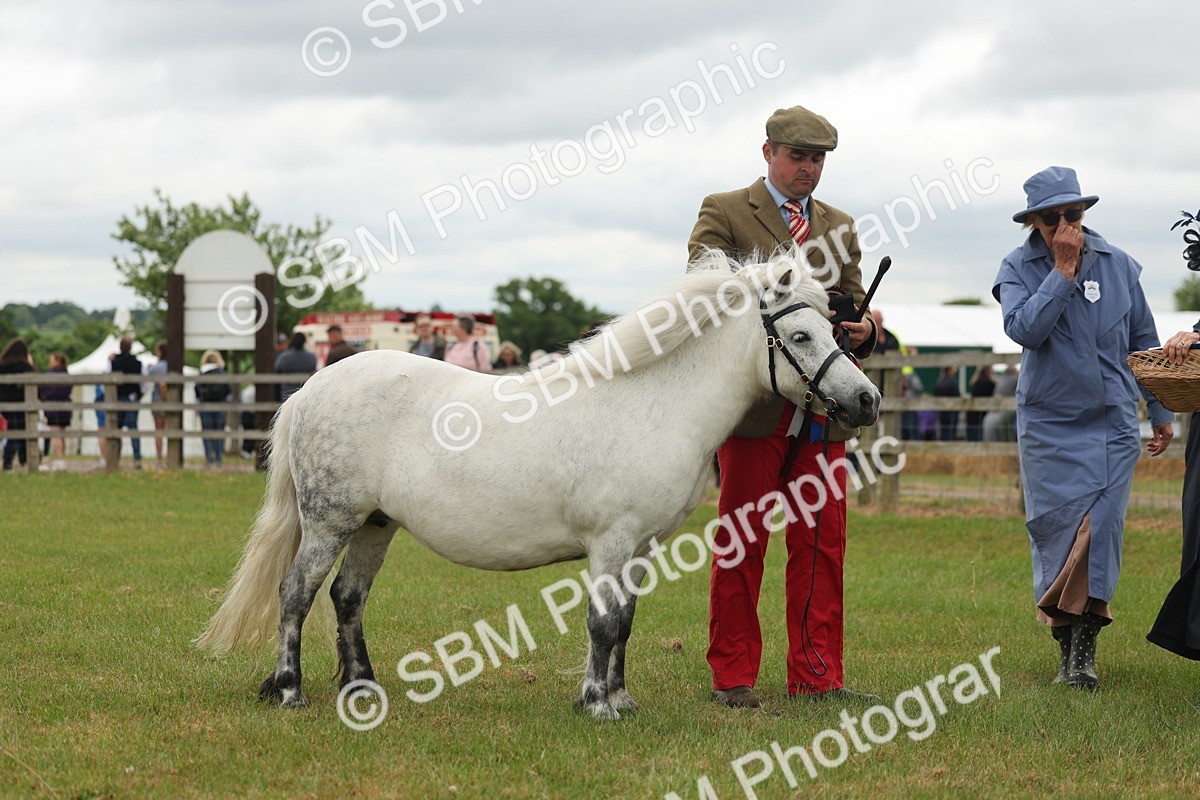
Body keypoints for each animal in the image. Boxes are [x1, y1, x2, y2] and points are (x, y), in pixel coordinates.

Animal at [196, 248, 882, 720]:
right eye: (800, 335)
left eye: (836, 329)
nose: (867, 401)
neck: (652, 403)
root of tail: (313, 387)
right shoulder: (611, 542)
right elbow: (603, 621)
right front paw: (597, 704)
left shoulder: (641, 548)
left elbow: (625, 621)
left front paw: (620, 699)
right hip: (330, 520)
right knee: (297, 594)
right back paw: (290, 690)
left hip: (375, 525)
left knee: (346, 597)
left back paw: (362, 687)